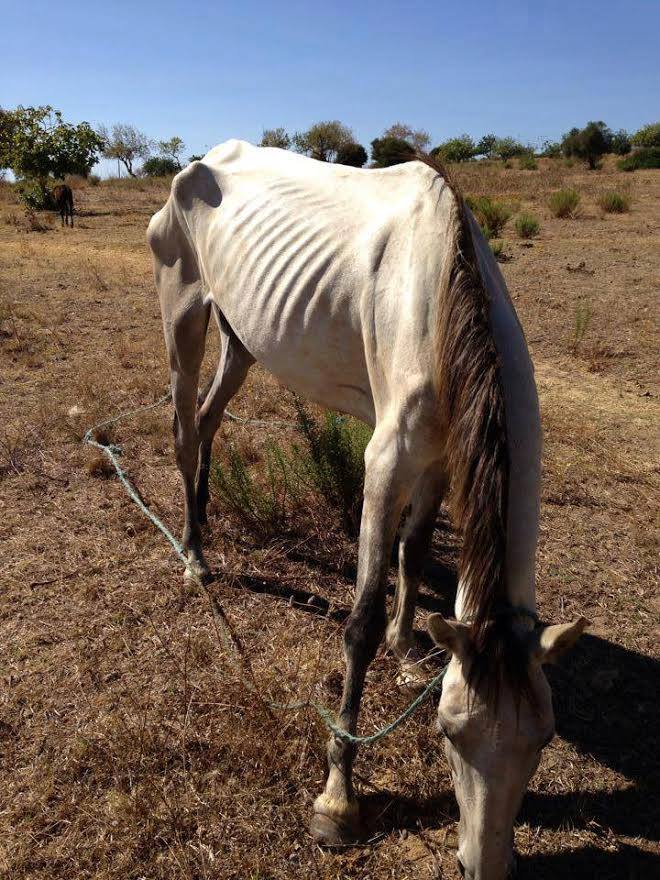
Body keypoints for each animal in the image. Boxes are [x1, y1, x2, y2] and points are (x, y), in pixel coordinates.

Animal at [150, 141, 588, 876]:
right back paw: (193, 557)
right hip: (183, 314)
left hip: (242, 336)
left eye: (545, 737)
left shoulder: (440, 459)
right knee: (185, 431)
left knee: (209, 421)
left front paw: (408, 648)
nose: (483, 865)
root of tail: (201, 161)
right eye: (449, 733)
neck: (441, 295)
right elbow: (358, 622)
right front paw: (337, 800)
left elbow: (414, 550)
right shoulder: (385, 464)